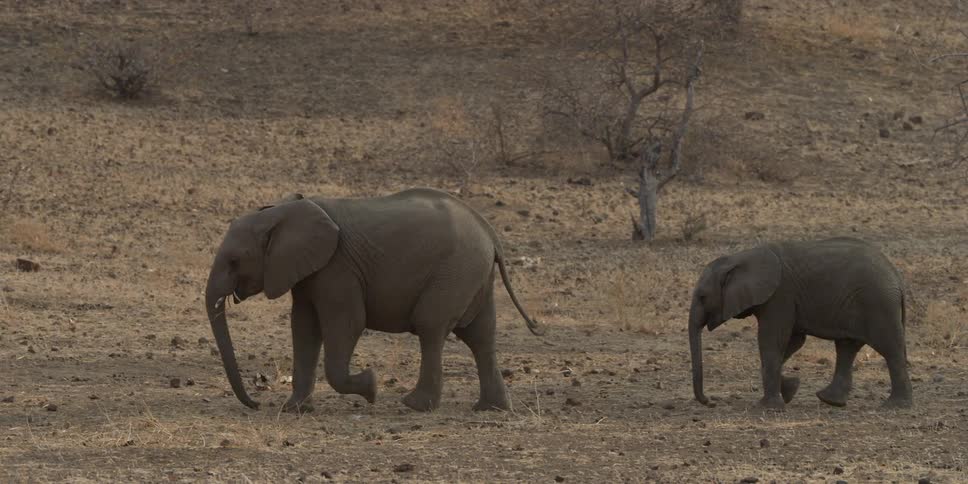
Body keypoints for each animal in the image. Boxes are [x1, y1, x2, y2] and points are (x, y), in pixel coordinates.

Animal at [204, 188, 543, 413]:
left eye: (234, 261)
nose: (256, 403)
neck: (281, 212)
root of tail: (489, 232)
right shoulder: (305, 271)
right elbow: (303, 328)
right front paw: (294, 409)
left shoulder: (337, 268)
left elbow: (347, 324)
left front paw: (371, 387)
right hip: (474, 275)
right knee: (481, 335)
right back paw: (491, 409)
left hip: (456, 271)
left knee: (431, 326)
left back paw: (415, 405)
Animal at [688, 237, 912, 409]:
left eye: (702, 297)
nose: (710, 402)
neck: (739, 258)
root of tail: (897, 278)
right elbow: (792, 342)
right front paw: (790, 389)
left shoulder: (780, 295)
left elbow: (772, 340)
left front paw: (768, 407)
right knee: (847, 348)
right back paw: (831, 401)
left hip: (877, 303)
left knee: (889, 348)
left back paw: (895, 406)